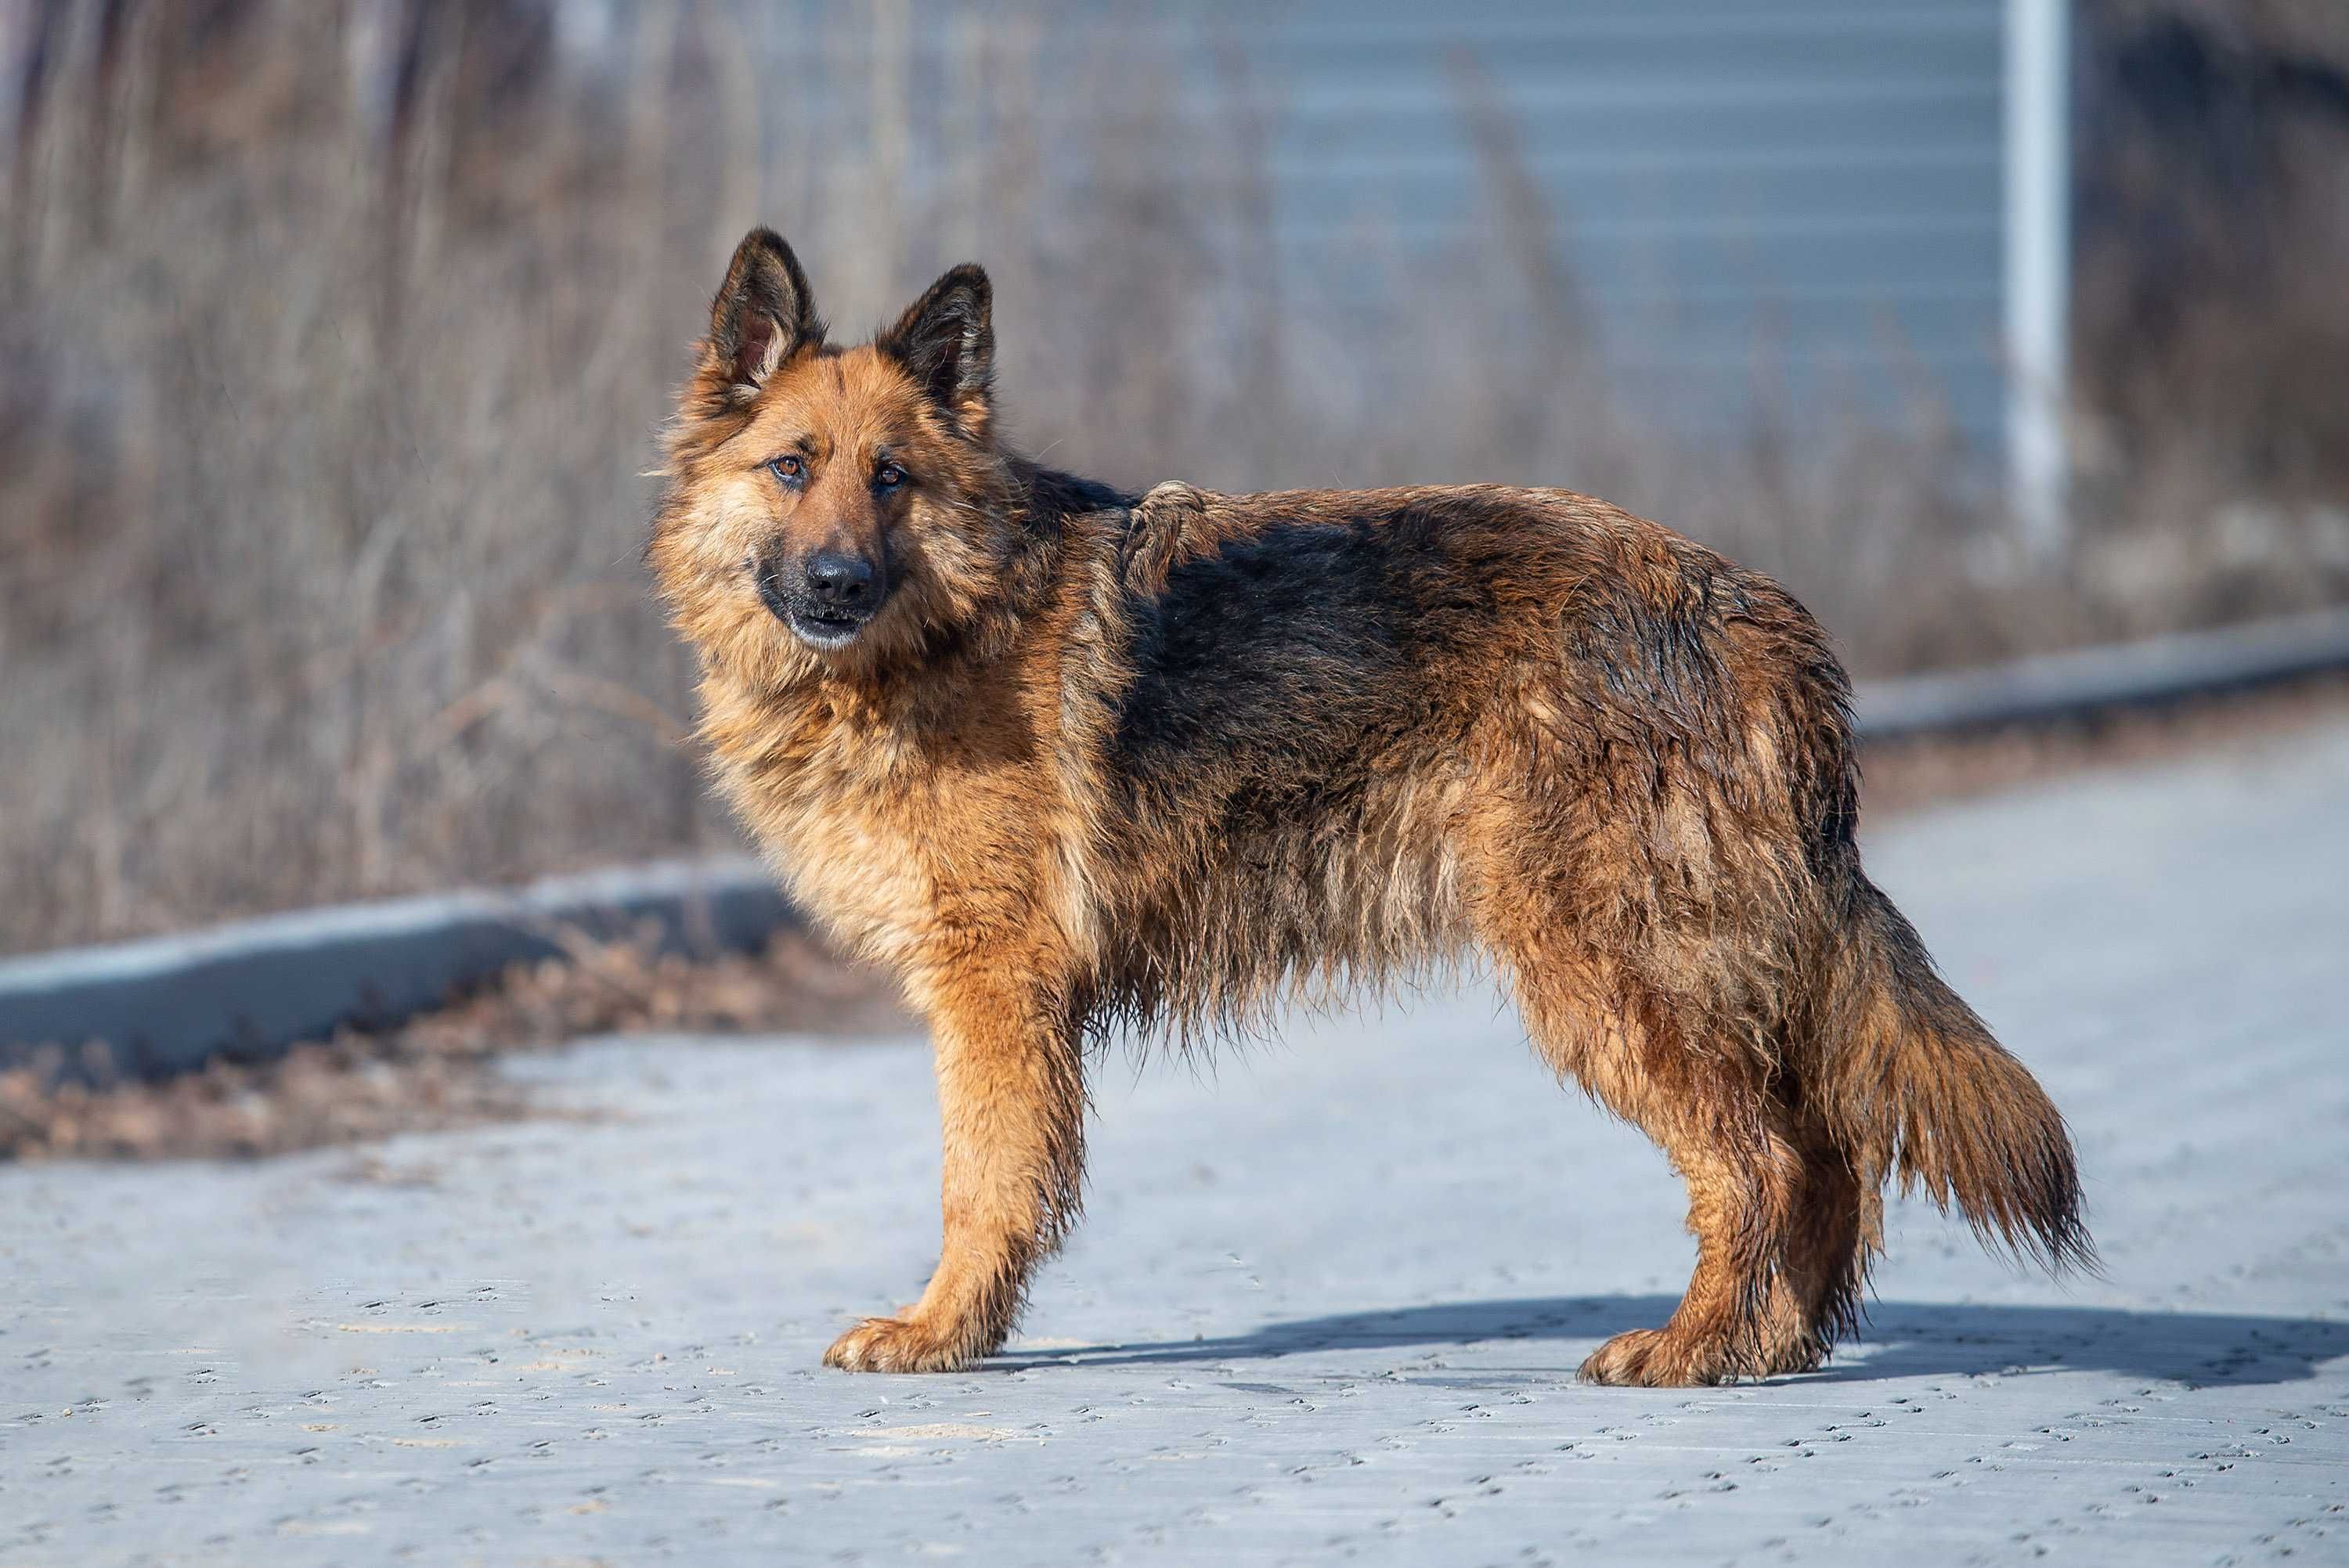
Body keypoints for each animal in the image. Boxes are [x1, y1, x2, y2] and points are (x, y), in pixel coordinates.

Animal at [648, 229, 2095, 1380]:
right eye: (793, 468)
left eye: (891, 477)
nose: (834, 585)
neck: (943, 629)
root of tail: (1748, 610)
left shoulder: (993, 985)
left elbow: (982, 1181)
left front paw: (942, 1329)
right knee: (1829, 1157)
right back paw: (1771, 1346)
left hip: (1605, 971)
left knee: (1764, 1163)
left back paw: (1691, 1348)